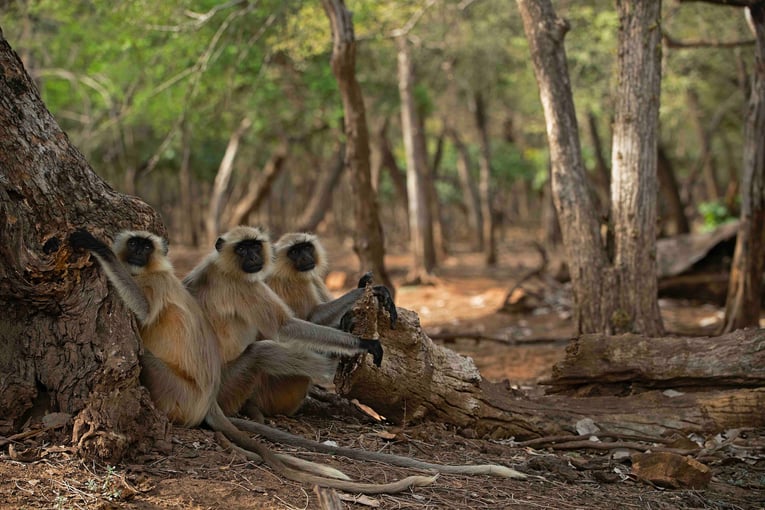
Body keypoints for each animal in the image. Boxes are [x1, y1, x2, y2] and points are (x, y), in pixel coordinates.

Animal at [68, 228, 432, 494]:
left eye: (254, 247)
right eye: (243, 250)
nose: (255, 257)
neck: (224, 268)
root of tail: (212, 400)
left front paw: (369, 292)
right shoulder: (244, 285)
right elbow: (284, 328)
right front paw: (361, 344)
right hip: (232, 385)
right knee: (264, 351)